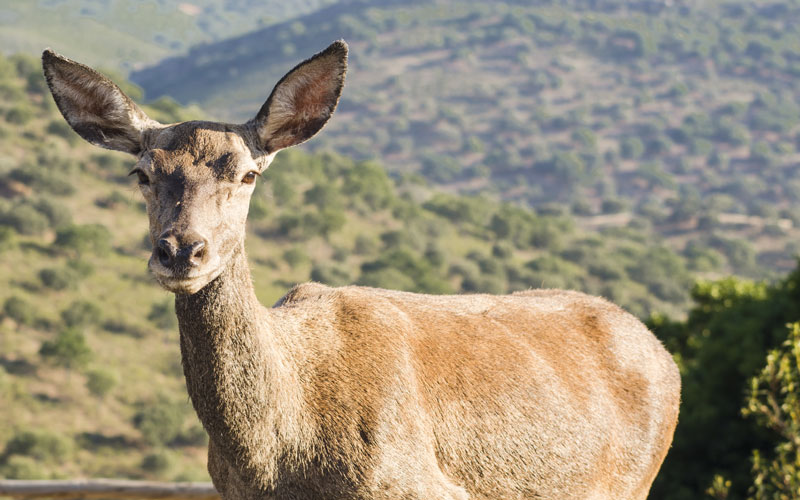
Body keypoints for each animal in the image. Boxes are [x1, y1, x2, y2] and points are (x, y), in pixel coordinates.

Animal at [42, 41, 680, 499]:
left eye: (248, 173)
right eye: (142, 173)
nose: (181, 250)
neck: (282, 457)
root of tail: (662, 353)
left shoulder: (420, 487)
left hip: (635, 481)